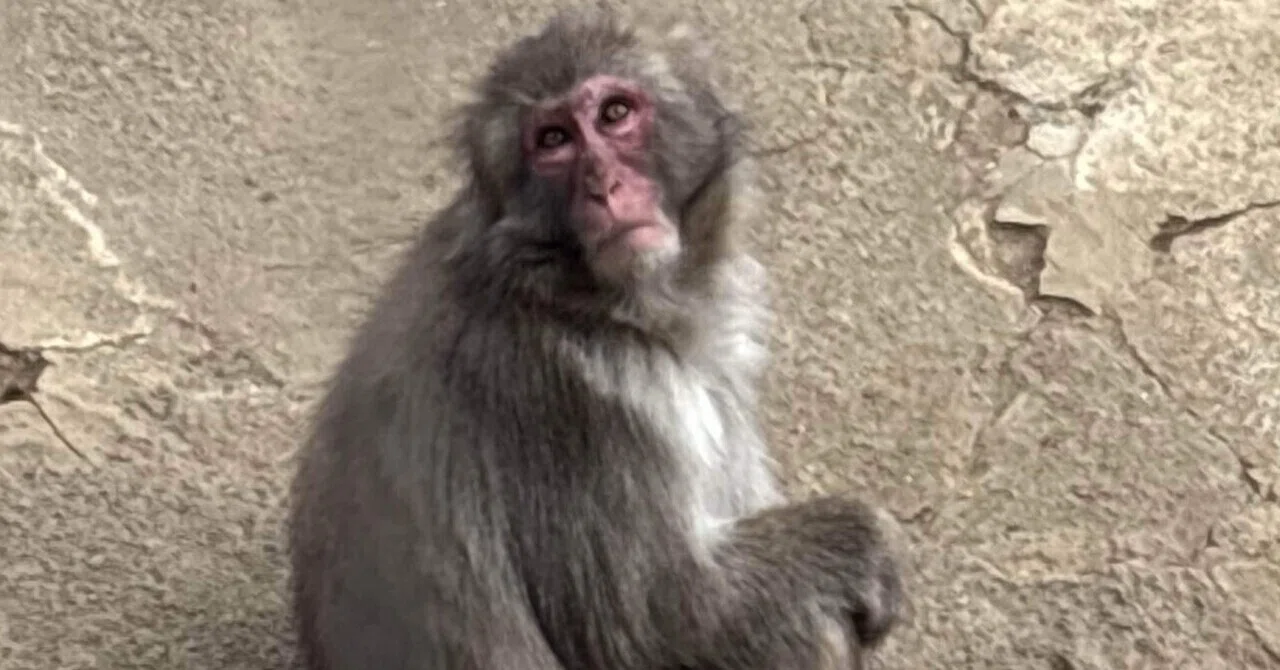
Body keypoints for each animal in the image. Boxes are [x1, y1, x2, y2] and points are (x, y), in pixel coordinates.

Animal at [287, 7, 903, 670]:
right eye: (553, 141)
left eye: (614, 113)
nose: (603, 185)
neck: (579, 298)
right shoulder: (574, 395)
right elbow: (657, 618)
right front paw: (864, 538)